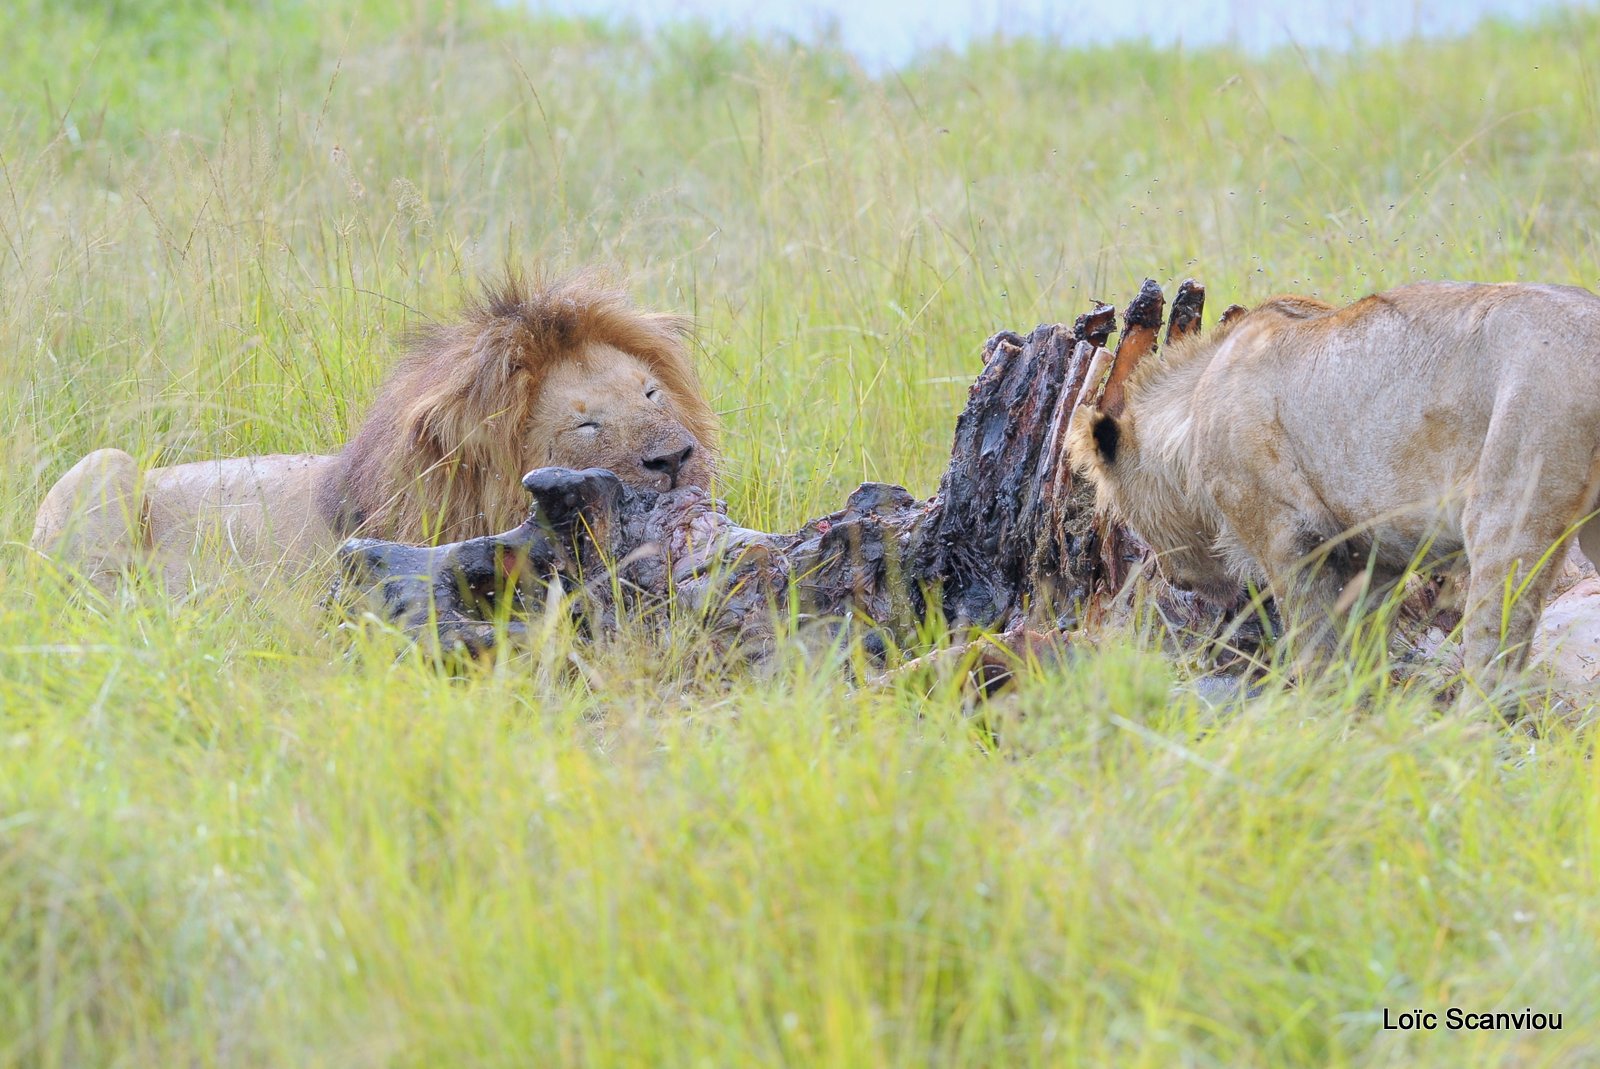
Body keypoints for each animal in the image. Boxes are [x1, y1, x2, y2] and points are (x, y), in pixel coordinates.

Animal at [1062, 280, 1600, 688]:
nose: (1177, 580)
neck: (1193, 407)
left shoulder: (1287, 536)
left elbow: (1314, 644)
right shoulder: (1373, 553)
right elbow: (1364, 644)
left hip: (1510, 509)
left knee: (1496, 654)